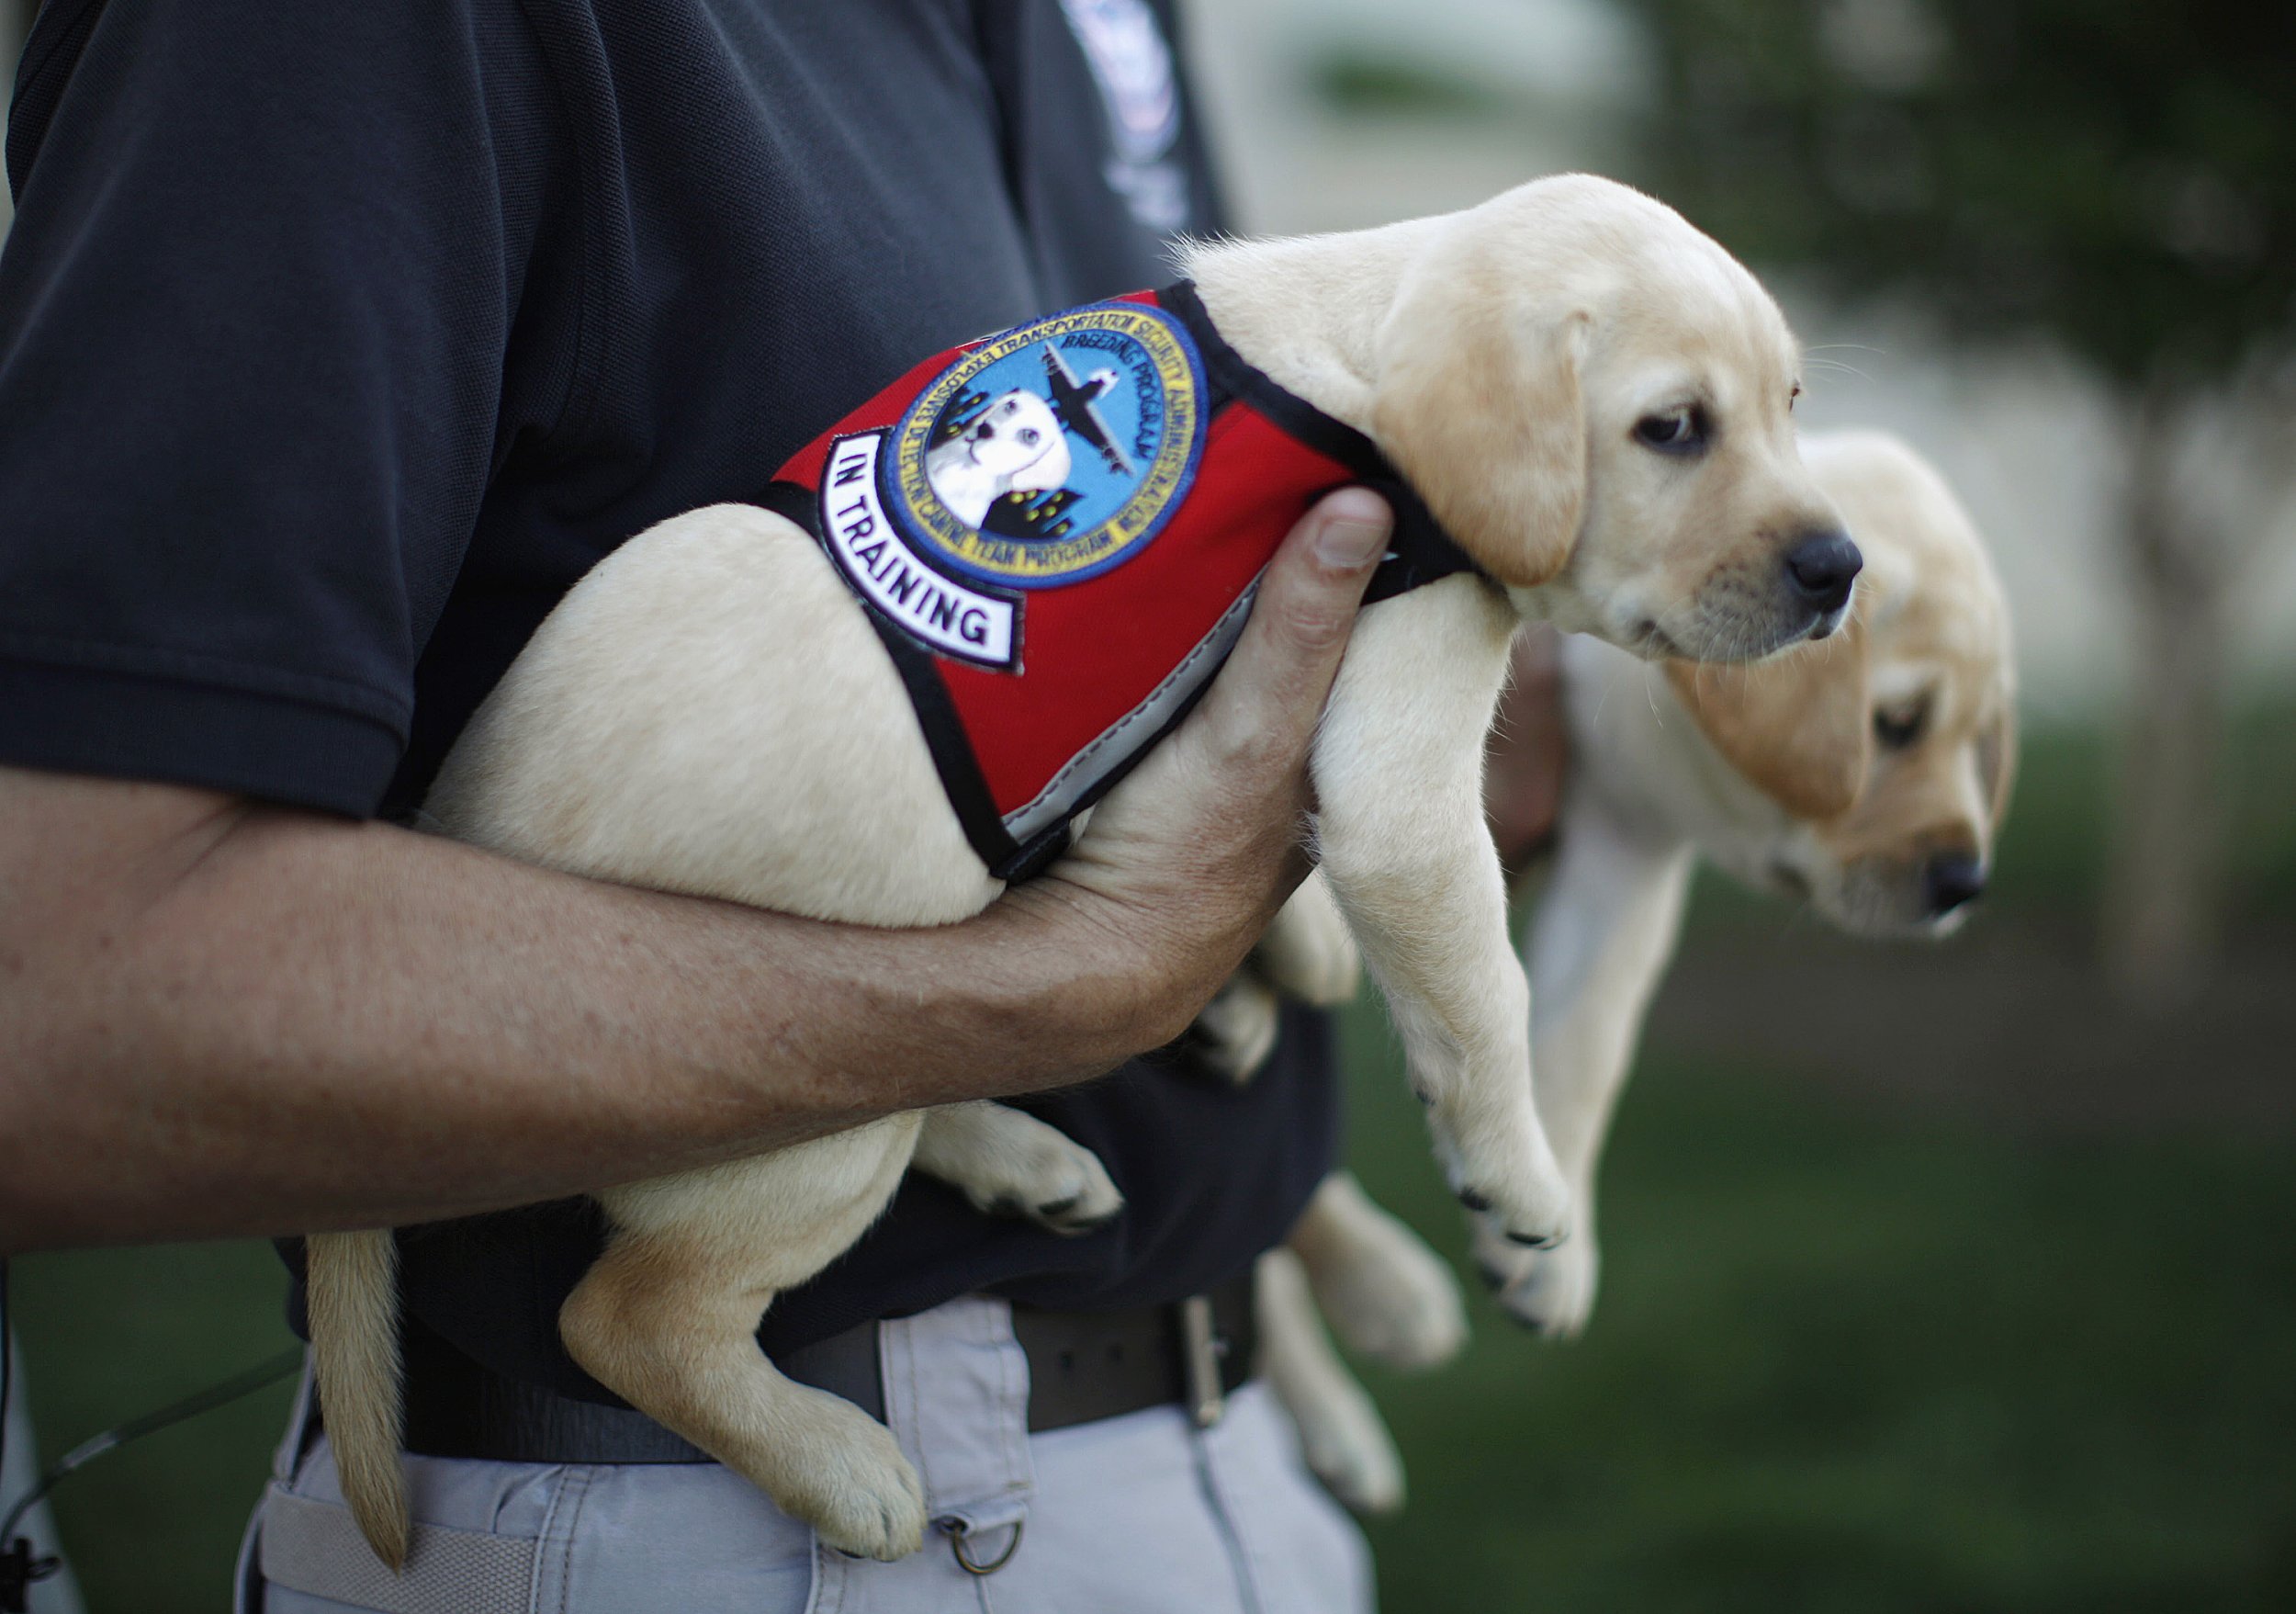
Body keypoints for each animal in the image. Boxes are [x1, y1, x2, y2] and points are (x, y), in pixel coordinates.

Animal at [305, 173, 1855, 1561]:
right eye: (1672, 429)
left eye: (1792, 406)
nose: (1841, 569)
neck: (1354, 347)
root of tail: (446, 833)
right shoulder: (1399, 770)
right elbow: (1484, 997)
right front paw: (1528, 1195)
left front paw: (1297, 968)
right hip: (791, 1126)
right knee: (626, 1313)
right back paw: (838, 1462)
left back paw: (1028, 1162)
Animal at [1249, 431, 2020, 1515]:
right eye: (1896, 725)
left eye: (1980, 740)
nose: (1965, 882)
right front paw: (1306, 930)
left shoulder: (1629, 841)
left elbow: (1586, 1035)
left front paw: (1548, 1238)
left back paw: (1378, 1307)